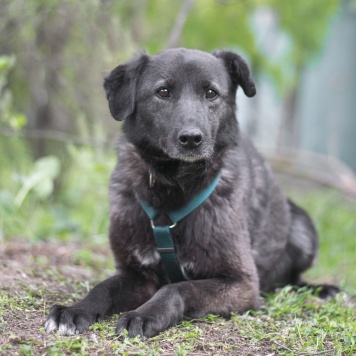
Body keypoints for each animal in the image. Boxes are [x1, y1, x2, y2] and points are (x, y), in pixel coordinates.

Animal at [45, 48, 336, 338]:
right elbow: (103, 287)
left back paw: (323, 289)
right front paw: (75, 310)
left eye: (211, 93)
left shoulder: (242, 282)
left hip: (303, 228)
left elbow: (178, 287)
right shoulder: (136, 274)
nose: (191, 138)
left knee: (291, 279)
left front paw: (144, 314)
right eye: (163, 91)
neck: (173, 187)